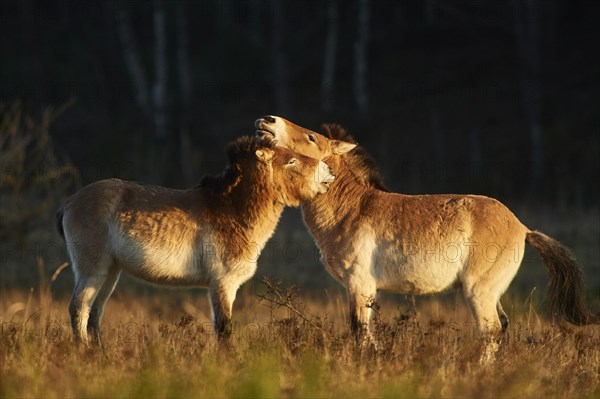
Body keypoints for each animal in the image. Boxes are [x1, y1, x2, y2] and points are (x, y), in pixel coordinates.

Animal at [56, 137, 338, 344]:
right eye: (291, 160)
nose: (329, 171)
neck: (230, 210)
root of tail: (70, 202)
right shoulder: (222, 283)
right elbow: (223, 329)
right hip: (93, 270)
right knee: (78, 309)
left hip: (111, 272)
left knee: (94, 314)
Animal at [255, 114, 596, 348]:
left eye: (311, 137)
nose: (267, 121)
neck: (352, 208)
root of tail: (522, 227)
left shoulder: (359, 284)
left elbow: (360, 332)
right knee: (501, 328)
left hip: (478, 292)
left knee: (490, 332)